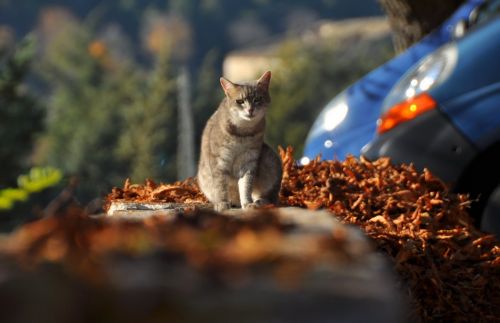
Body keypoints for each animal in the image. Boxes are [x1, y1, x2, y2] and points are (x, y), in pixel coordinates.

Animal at [197, 71, 284, 213]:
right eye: (240, 101)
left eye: (257, 99)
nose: (250, 110)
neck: (243, 134)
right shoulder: (219, 161)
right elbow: (220, 186)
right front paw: (222, 203)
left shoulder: (249, 161)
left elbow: (245, 186)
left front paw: (248, 203)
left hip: (270, 161)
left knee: (272, 198)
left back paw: (260, 202)